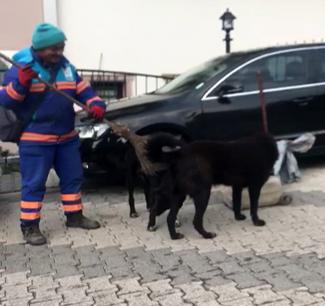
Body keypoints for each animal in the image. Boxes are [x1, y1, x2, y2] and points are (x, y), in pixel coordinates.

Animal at [146, 133, 278, 240]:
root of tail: (180, 154)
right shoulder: (255, 186)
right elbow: (254, 207)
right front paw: (257, 221)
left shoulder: (237, 187)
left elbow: (237, 203)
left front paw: (238, 217)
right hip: (203, 193)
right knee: (196, 221)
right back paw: (207, 235)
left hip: (176, 197)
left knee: (164, 214)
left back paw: (169, 234)